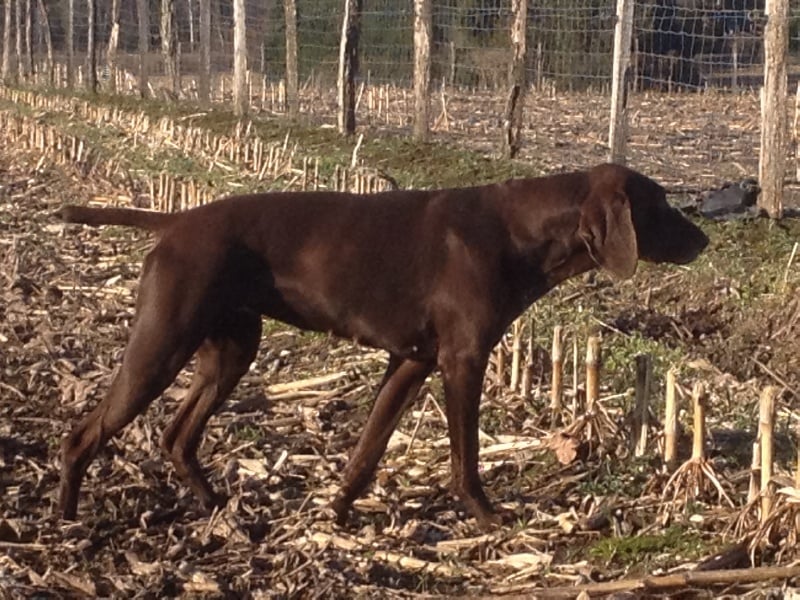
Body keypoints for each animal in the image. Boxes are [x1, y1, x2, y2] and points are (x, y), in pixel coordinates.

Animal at [56, 163, 708, 524]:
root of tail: (176, 222)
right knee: (83, 435)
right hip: (160, 346)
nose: (704, 240)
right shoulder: (462, 361)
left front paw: (337, 510)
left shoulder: (409, 363)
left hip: (231, 351)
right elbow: (465, 455)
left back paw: (216, 506)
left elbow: (367, 450)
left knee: (177, 436)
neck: (519, 232)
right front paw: (485, 514)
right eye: (661, 204)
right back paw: (68, 519)